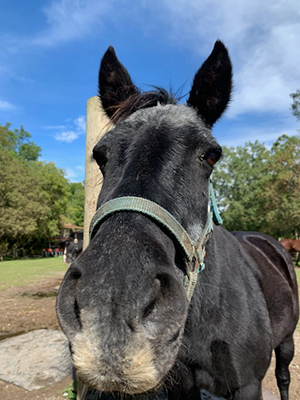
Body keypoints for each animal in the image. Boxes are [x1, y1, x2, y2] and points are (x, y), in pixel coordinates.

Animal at [55, 41, 298, 400]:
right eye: (100, 155)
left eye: (211, 155)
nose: (112, 307)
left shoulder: (248, 385)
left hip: (286, 342)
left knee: (283, 377)